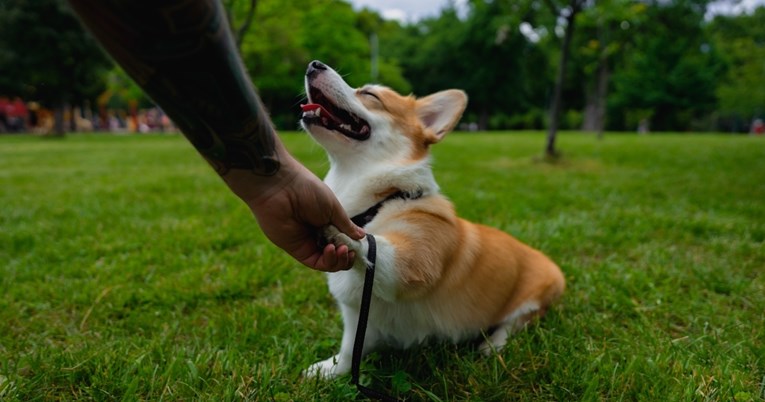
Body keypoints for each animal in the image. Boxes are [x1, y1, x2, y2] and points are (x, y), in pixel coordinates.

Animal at [298, 59, 560, 376]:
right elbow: (350, 351)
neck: (383, 200)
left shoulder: (411, 265)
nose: (314, 64)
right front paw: (327, 371)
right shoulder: (357, 317)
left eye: (370, 95)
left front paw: (342, 233)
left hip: (535, 299)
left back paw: (492, 345)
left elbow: (373, 244)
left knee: (514, 324)